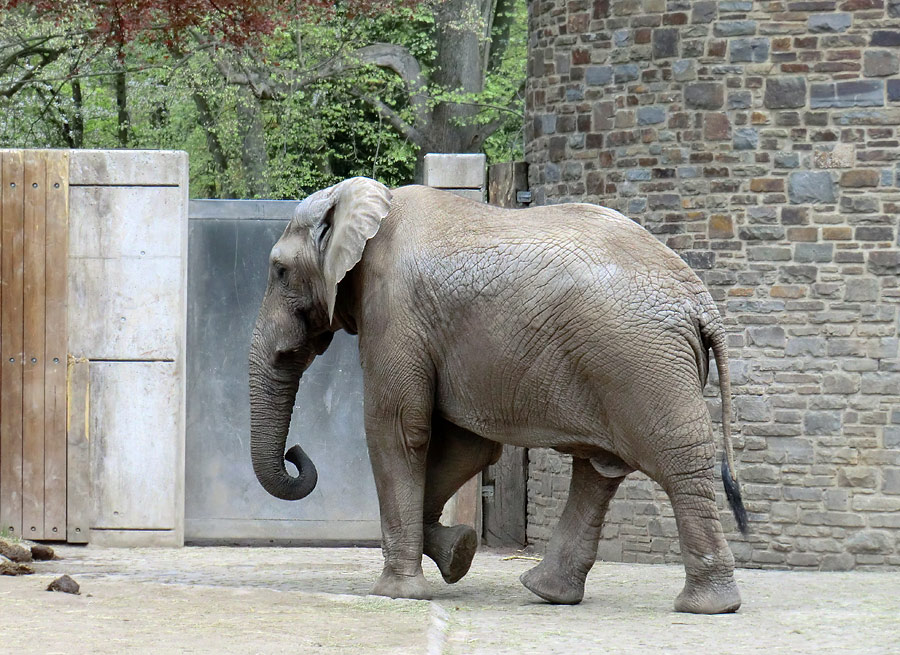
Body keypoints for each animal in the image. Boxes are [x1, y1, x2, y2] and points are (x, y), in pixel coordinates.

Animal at [250, 176, 748, 616]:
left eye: (279, 271)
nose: (296, 453)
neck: (363, 202)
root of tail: (700, 301)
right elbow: (465, 448)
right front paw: (457, 553)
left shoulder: (395, 307)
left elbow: (396, 429)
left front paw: (397, 594)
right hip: (625, 363)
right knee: (599, 469)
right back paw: (548, 592)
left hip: (639, 361)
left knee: (674, 462)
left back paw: (707, 606)